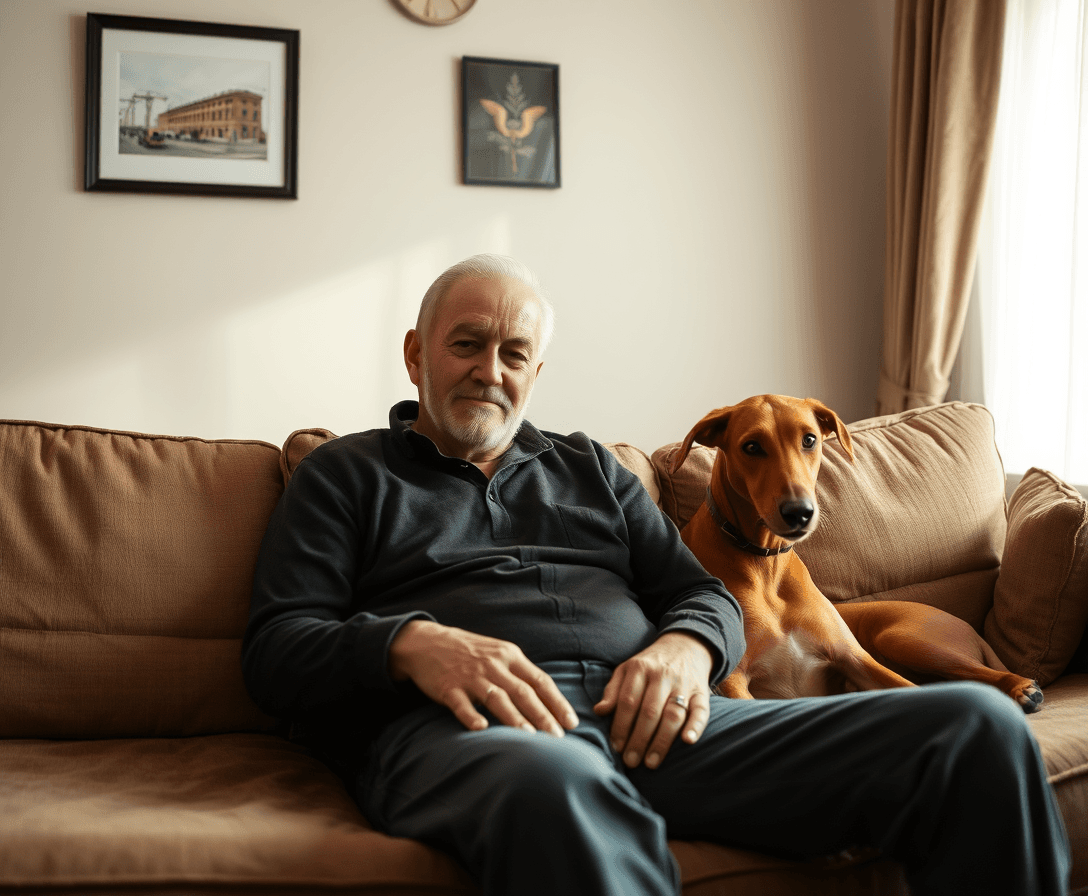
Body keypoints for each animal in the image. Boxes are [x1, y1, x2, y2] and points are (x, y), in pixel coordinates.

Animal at [674, 393, 1040, 713]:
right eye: (751, 447)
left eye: (809, 440)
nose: (799, 512)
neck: (764, 563)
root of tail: (971, 632)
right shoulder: (734, 682)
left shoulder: (853, 659)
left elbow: (909, 688)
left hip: (903, 637)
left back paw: (1019, 686)